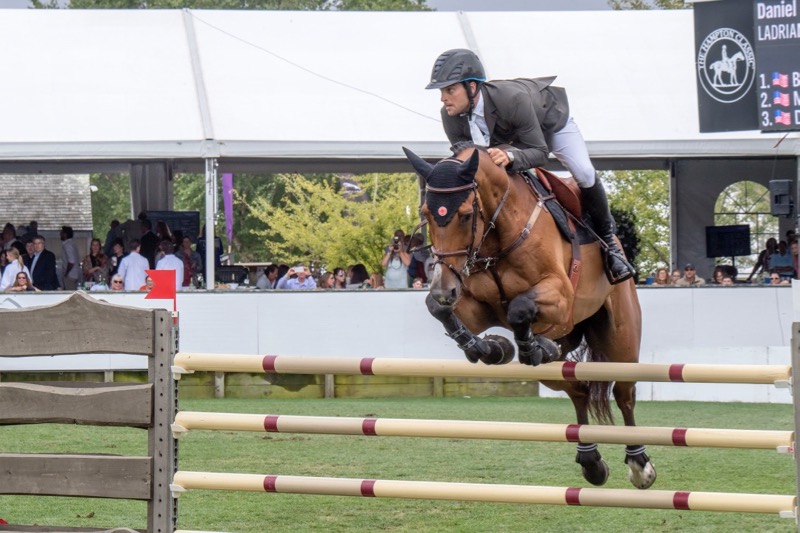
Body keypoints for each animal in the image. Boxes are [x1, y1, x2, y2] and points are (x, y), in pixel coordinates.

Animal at [400, 143, 656, 488]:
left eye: (466, 215)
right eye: (426, 215)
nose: (444, 288)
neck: (497, 235)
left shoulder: (561, 296)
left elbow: (520, 307)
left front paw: (519, 345)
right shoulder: (477, 307)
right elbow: (440, 309)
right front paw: (492, 348)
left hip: (620, 339)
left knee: (624, 393)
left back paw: (639, 464)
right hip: (561, 349)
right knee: (577, 390)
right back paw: (590, 460)